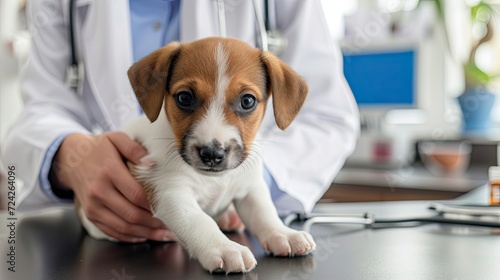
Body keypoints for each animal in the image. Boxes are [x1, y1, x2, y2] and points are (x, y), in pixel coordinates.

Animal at [78, 36, 316, 274]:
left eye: (247, 101)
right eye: (184, 98)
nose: (212, 153)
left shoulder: (250, 187)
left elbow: (264, 213)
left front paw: (283, 234)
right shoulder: (170, 192)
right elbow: (199, 221)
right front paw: (225, 248)